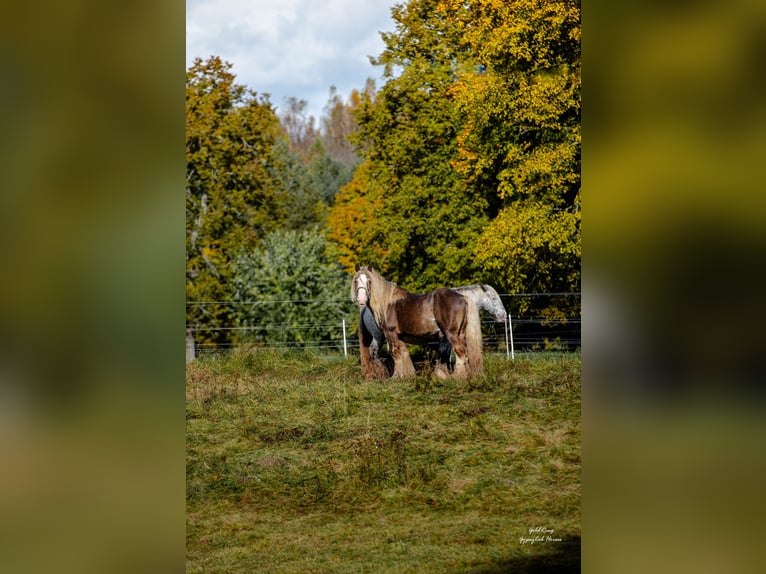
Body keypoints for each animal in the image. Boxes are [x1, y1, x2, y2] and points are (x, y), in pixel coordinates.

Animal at [351, 265, 483, 379]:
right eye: (356, 280)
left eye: (369, 281)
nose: (361, 300)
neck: (387, 303)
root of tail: (462, 297)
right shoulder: (399, 336)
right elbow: (402, 354)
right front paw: (405, 375)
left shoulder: (390, 333)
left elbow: (395, 353)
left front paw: (396, 377)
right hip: (461, 333)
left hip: (451, 333)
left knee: (460, 351)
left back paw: (458, 377)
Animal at [358, 284, 506, 379]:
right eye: (494, 298)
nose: (503, 316)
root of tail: (366, 309)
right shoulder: (445, 338)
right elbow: (444, 355)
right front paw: (442, 373)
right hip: (380, 337)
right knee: (374, 352)